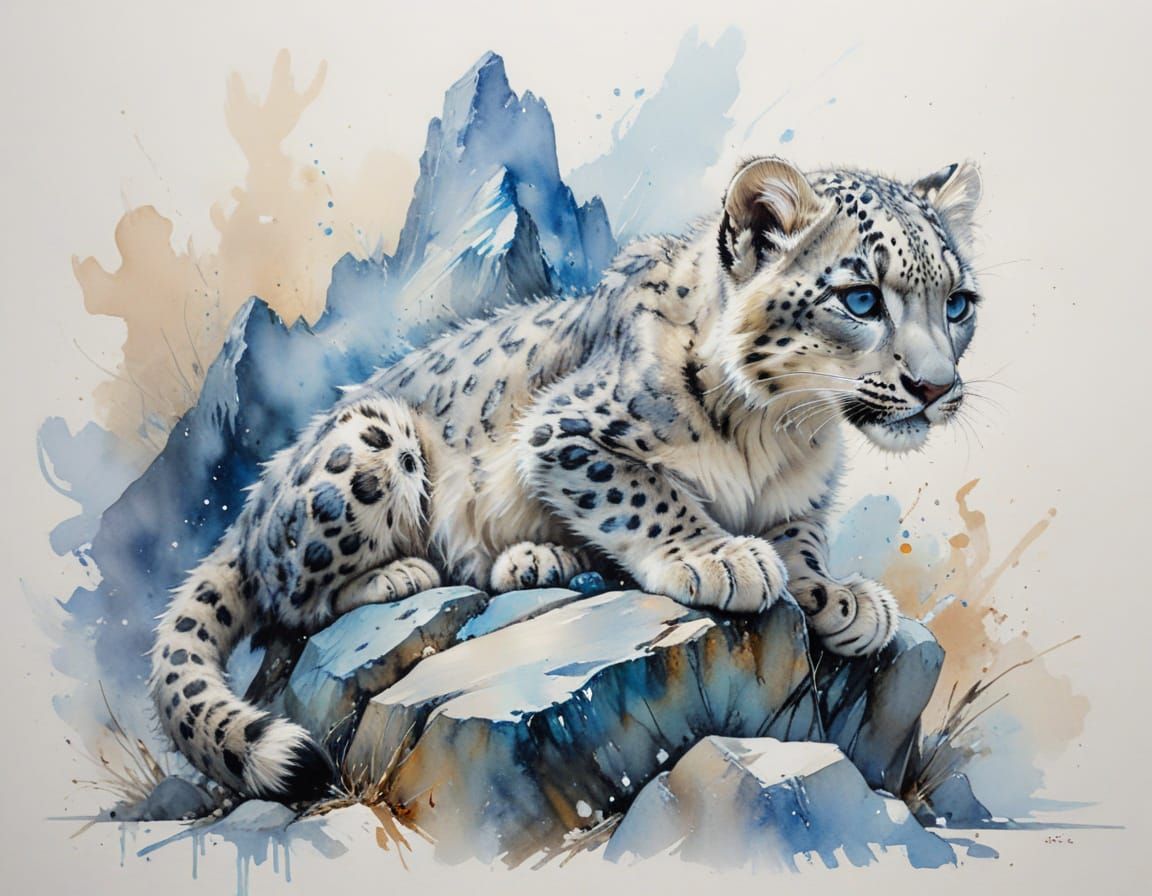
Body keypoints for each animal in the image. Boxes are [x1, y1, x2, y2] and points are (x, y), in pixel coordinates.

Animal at [150, 156, 983, 802]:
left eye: (958, 303)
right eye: (861, 298)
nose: (936, 387)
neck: (783, 430)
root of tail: (258, 495)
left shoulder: (798, 501)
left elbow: (801, 545)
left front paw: (840, 598)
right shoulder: (566, 432)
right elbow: (651, 496)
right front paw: (720, 558)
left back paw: (535, 558)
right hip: (369, 439)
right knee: (288, 595)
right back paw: (402, 575)